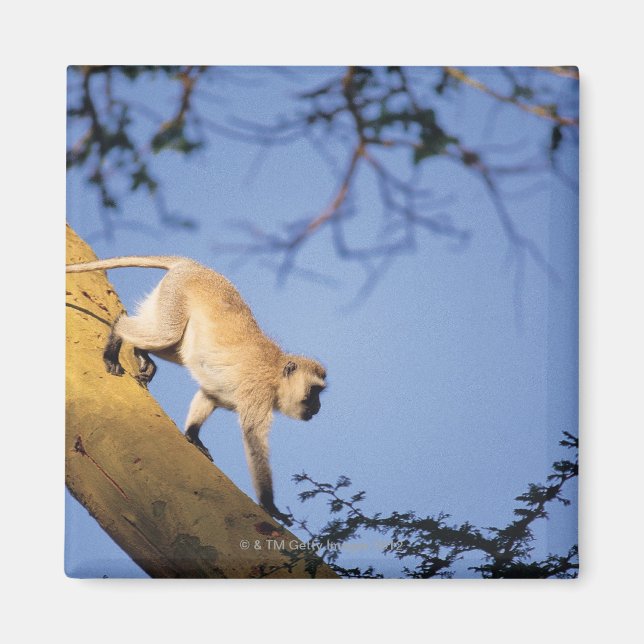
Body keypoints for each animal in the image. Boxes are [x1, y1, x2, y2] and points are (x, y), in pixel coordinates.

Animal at [66, 256, 326, 525]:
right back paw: (117, 336)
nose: (318, 406)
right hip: (176, 295)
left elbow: (209, 394)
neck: (275, 375)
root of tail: (194, 265)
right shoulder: (259, 392)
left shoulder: (226, 390)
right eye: (314, 392)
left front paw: (192, 435)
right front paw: (270, 505)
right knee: (166, 334)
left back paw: (140, 352)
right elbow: (254, 438)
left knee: (175, 344)